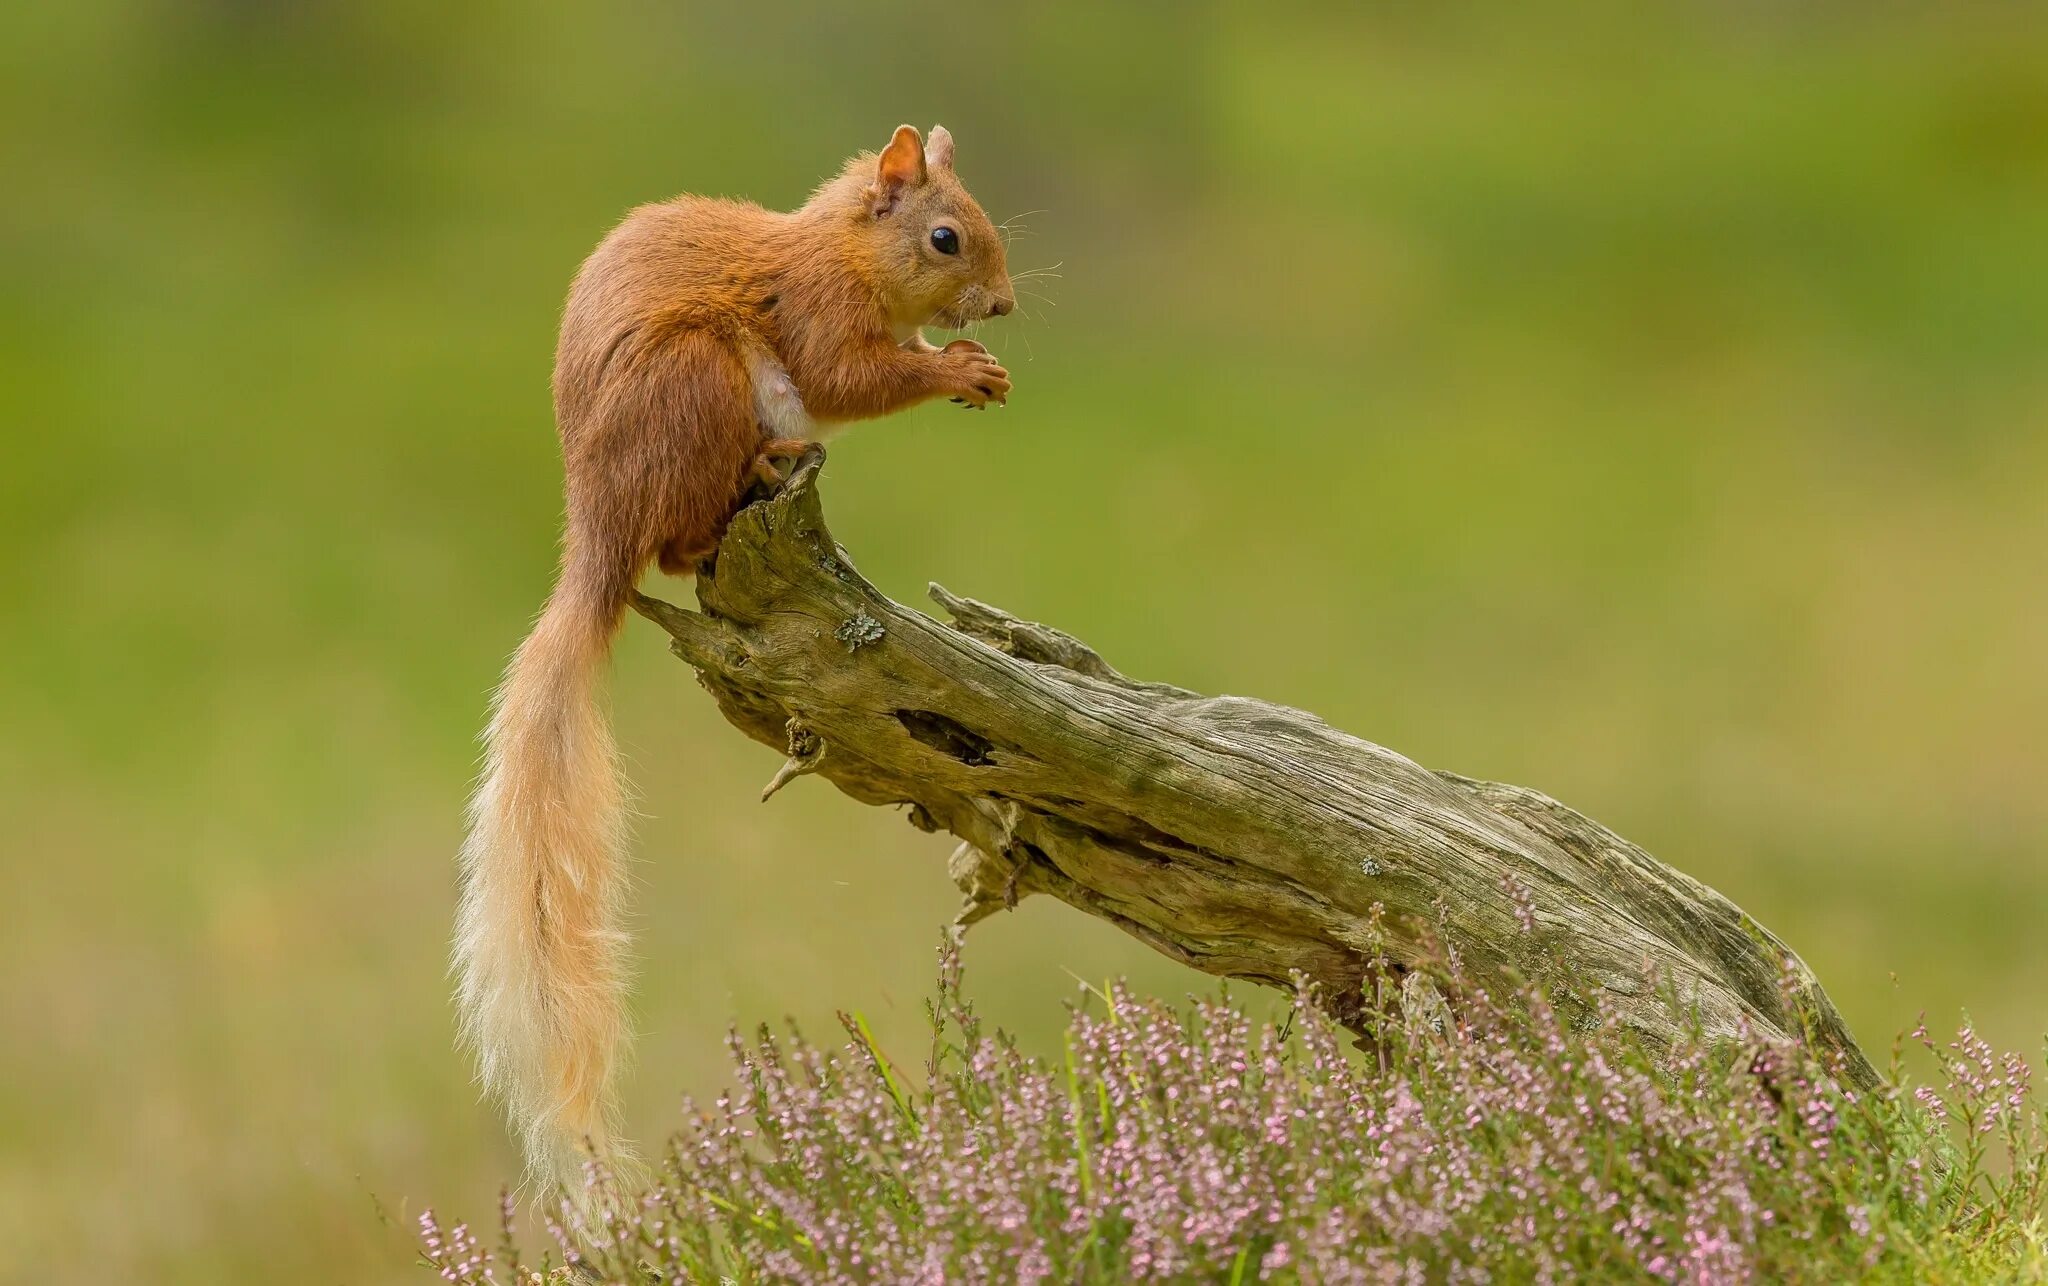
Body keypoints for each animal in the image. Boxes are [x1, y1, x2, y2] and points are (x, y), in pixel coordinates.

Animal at [456, 125, 1015, 1187]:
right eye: (946, 238)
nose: (1004, 305)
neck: (842, 253)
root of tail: (601, 528)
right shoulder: (820, 317)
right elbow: (851, 379)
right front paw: (959, 369)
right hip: (697, 383)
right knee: (679, 546)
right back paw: (765, 465)